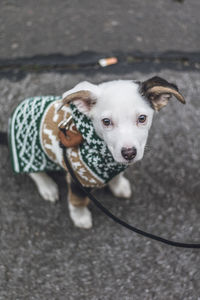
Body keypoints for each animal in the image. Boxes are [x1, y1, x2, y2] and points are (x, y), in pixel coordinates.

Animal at [8, 76, 185, 229]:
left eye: (142, 118)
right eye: (106, 122)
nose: (129, 153)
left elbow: (117, 177)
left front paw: (119, 186)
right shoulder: (78, 179)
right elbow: (77, 201)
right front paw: (80, 218)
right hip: (29, 153)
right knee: (35, 173)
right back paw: (47, 187)